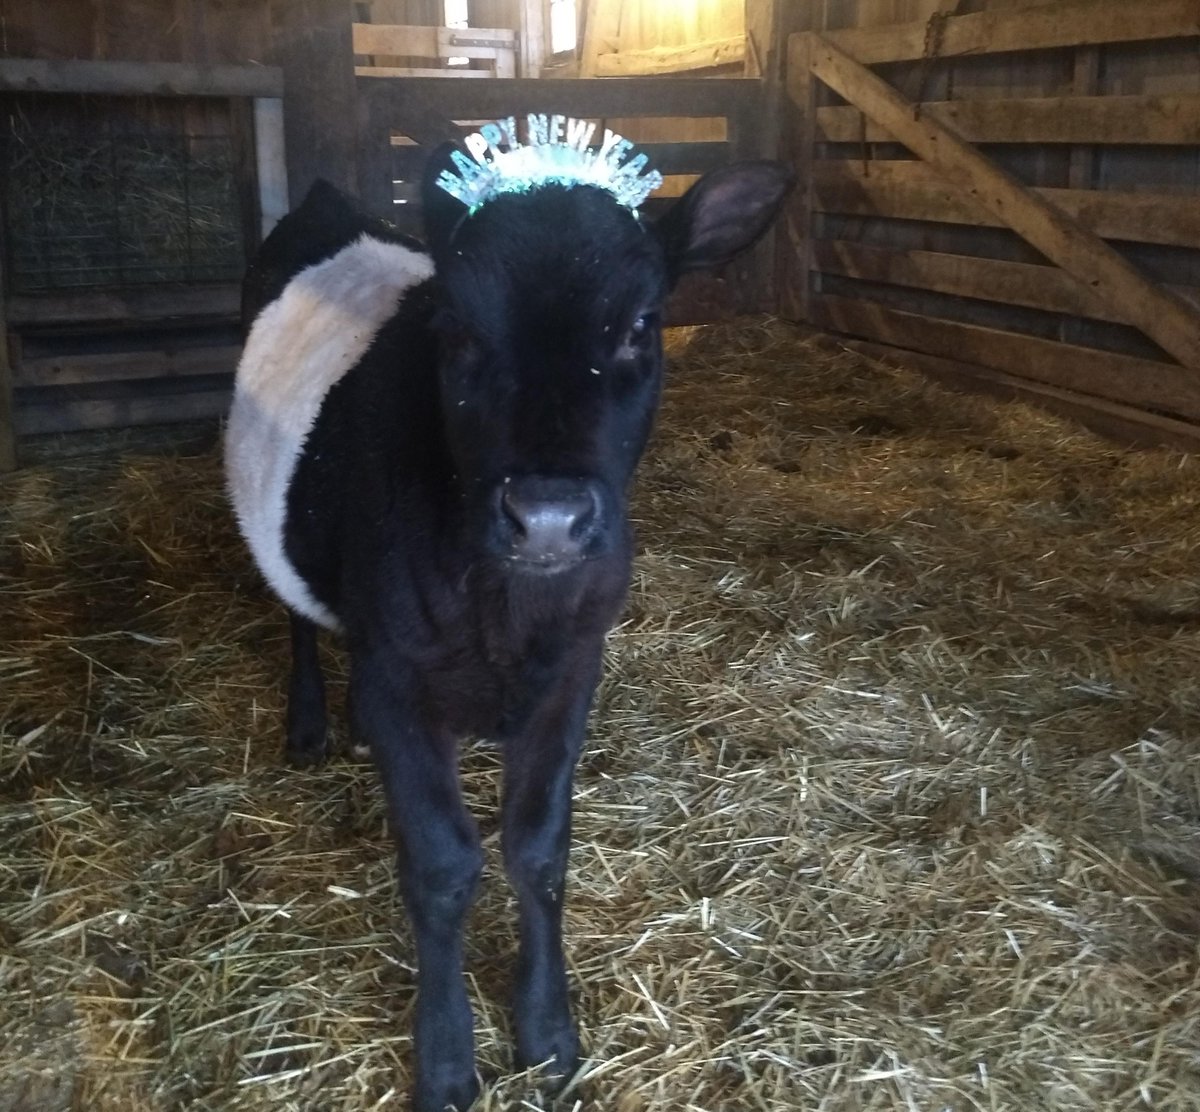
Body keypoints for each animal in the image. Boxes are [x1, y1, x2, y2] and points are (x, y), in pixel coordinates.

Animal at [225, 118, 790, 1112]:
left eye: (642, 324)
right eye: (453, 327)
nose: (550, 513)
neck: (506, 612)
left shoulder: (575, 668)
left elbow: (538, 850)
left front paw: (548, 1031)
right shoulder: (396, 674)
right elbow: (445, 866)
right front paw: (449, 1058)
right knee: (292, 610)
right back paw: (309, 722)